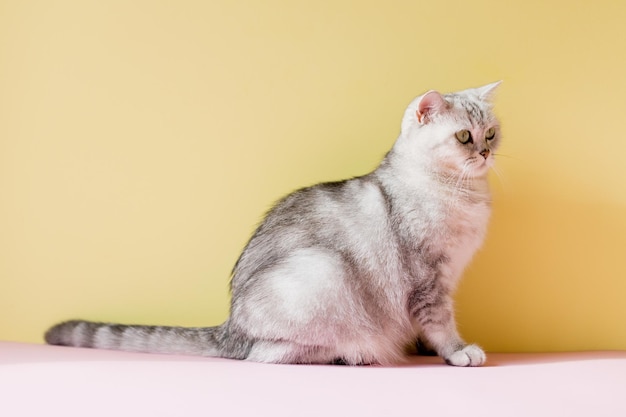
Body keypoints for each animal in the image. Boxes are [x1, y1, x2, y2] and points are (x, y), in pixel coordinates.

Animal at [44, 82, 500, 368]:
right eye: (464, 137)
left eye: (492, 134)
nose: (485, 153)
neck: (463, 193)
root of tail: (229, 327)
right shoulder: (428, 281)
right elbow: (441, 324)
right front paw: (458, 352)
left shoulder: (440, 280)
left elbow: (428, 327)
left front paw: (428, 350)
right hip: (323, 274)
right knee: (269, 354)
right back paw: (354, 353)